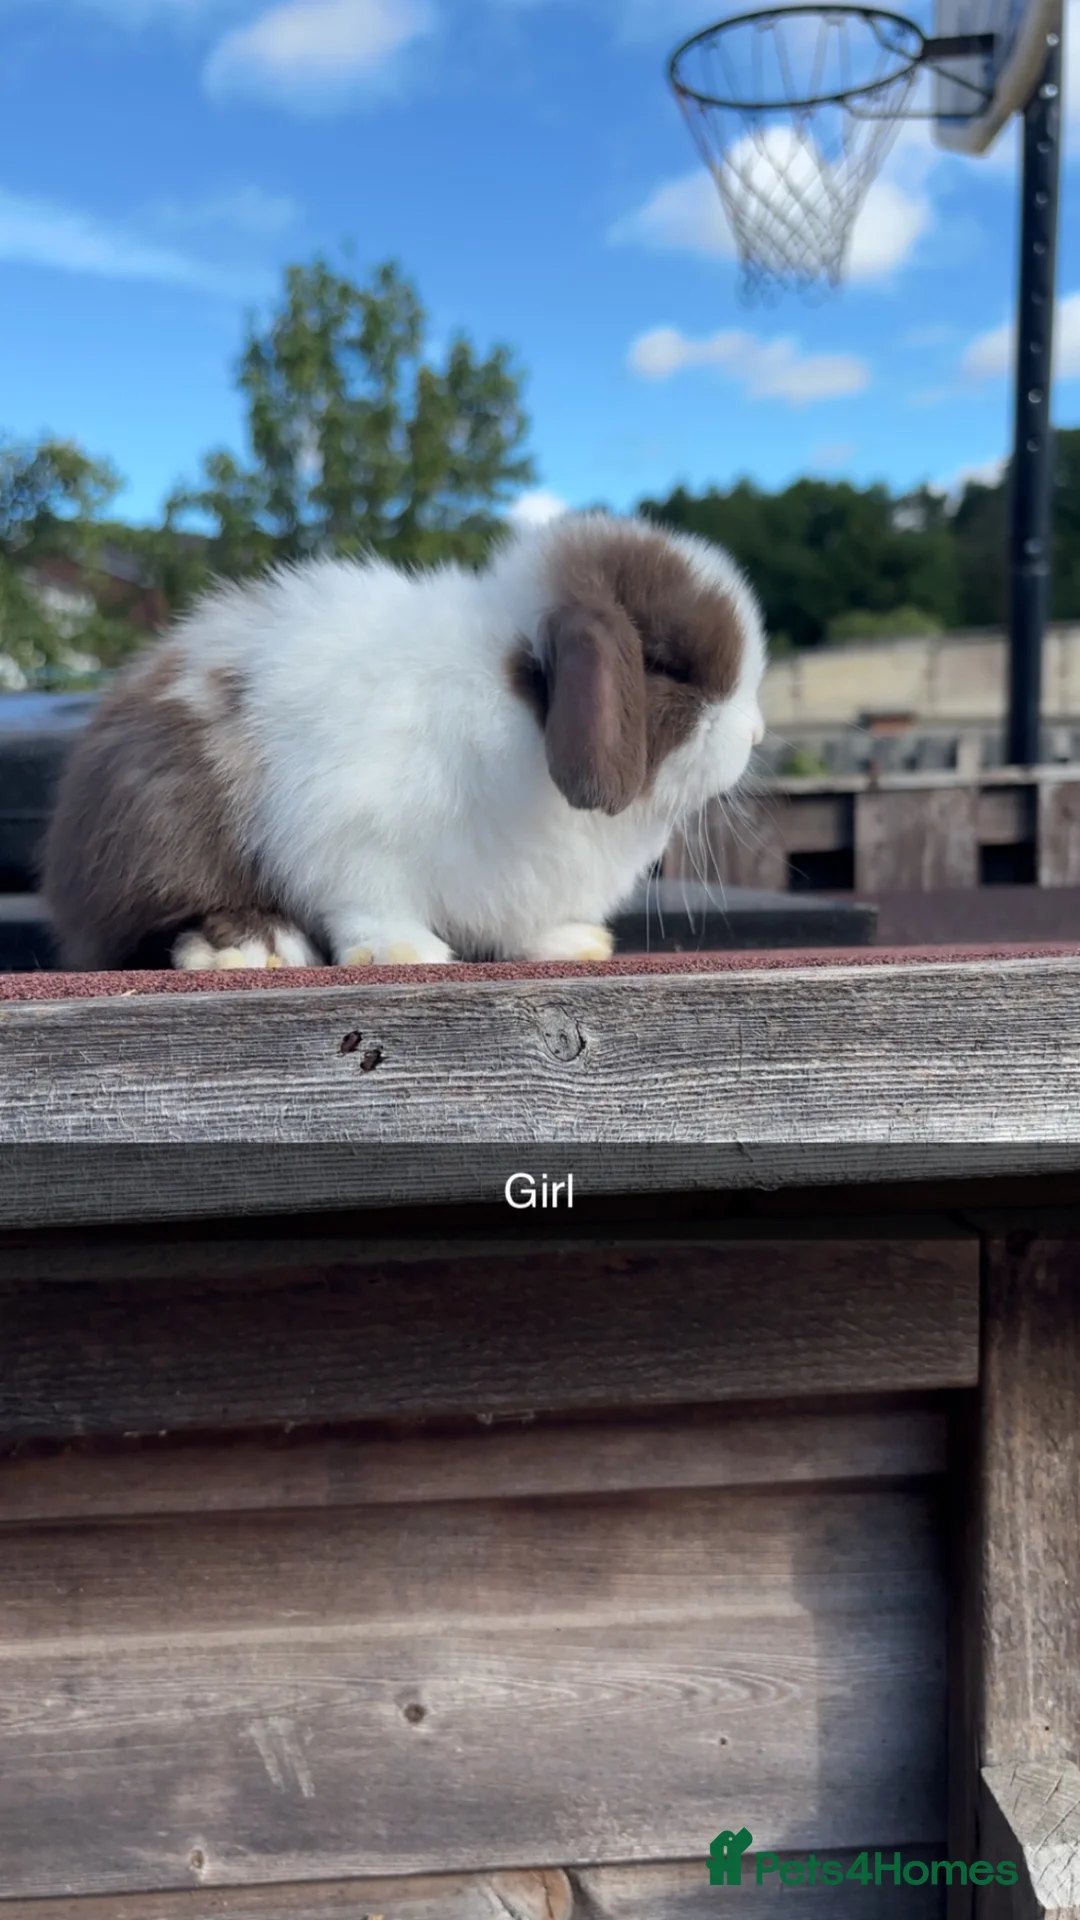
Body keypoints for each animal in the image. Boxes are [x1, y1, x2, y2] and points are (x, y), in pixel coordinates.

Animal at [41, 510, 767, 971]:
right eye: (666, 664)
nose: (757, 731)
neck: (515, 708)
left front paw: (572, 942)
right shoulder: (355, 838)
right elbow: (371, 903)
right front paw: (405, 953)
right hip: (164, 833)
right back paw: (254, 948)